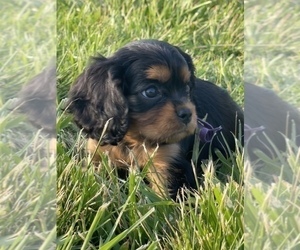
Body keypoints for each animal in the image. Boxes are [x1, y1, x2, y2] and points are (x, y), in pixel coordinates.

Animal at [66, 40, 244, 198]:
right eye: (151, 92)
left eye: (187, 88)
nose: (188, 114)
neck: (132, 139)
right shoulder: (98, 152)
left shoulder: (168, 163)